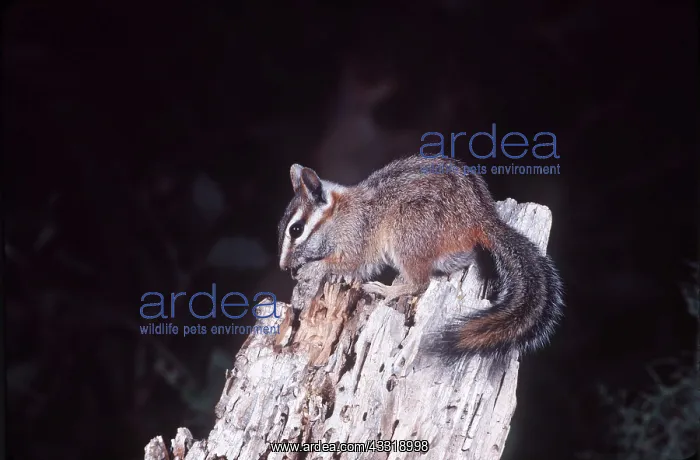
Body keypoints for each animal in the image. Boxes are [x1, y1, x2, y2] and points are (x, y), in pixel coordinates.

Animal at [277, 155, 563, 362]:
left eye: (296, 229)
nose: (283, 266)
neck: (339, 214)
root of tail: (484, 218)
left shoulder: (356, 239)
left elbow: (346, 263)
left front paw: (311, 270)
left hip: (407, 228)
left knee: (420, 283)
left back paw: (388, 290)